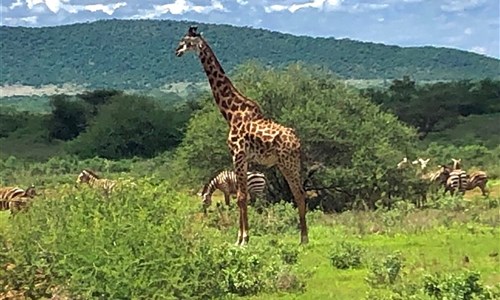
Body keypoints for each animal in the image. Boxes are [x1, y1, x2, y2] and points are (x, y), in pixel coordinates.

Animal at [176, 26, 308, 246]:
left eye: (187, 41)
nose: (176, 51)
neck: (231, 112)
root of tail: (297, 141)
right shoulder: (244, 158)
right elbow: (241, 195)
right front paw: (241, 237)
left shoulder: (237, 154)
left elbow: (240, 197)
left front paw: (243, 239)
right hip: (289, 163)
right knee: (300, 193)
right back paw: (303, 238)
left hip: (287, 163)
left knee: (298, 193)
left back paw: (304, 238)